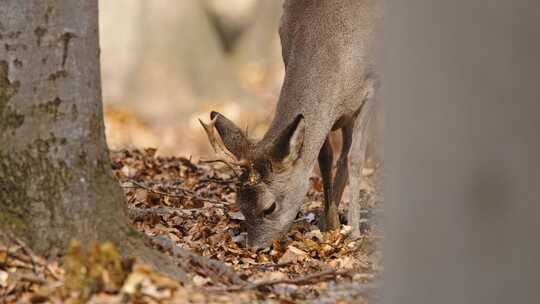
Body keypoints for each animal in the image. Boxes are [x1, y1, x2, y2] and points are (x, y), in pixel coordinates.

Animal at [199, 0, 380, 248]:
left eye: (270, 207)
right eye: (239, 205)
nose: (254, 247)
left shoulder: (371, 88)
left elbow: (356, 157)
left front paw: (354, 233)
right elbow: (326, 156)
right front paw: (330, 223)